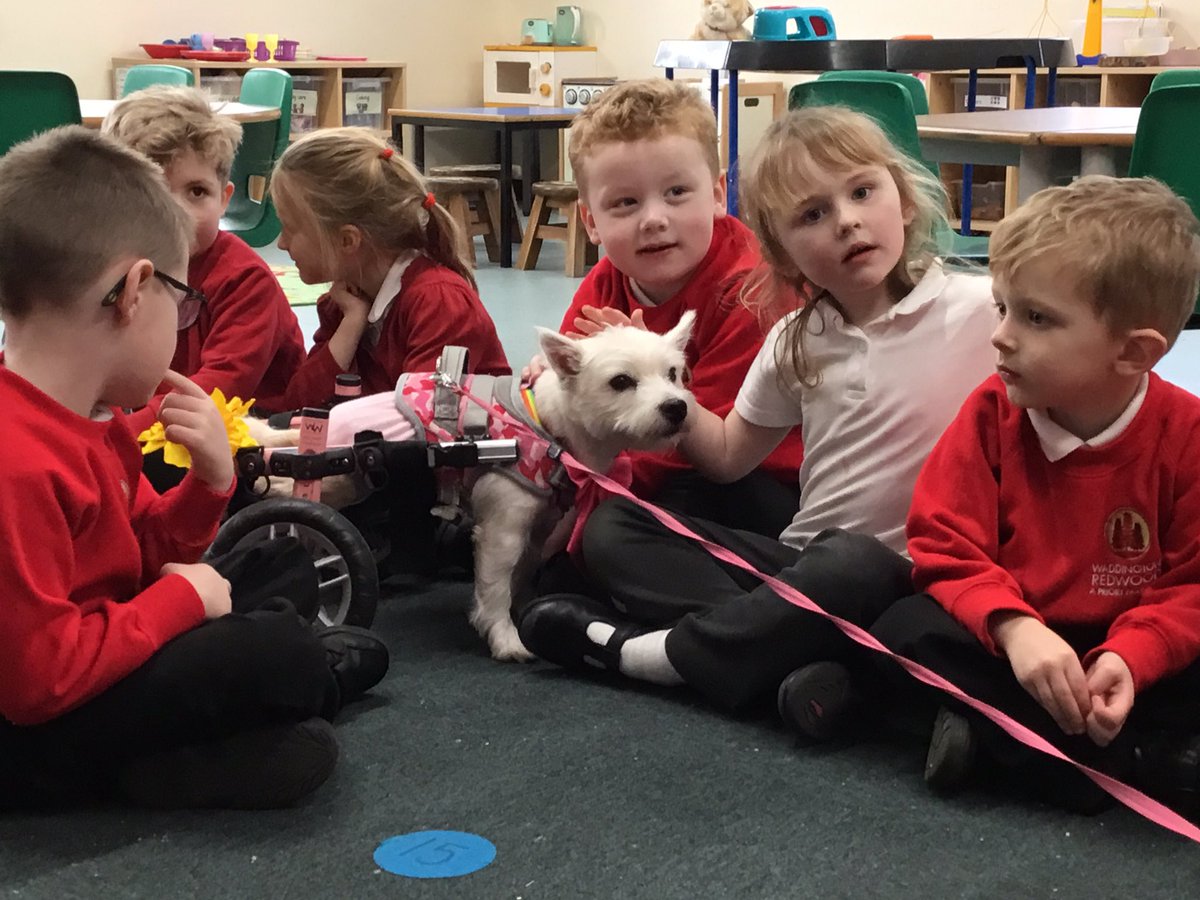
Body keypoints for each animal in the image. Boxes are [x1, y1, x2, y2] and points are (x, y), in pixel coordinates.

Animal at [250, 316, 696, 662]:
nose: (677, 407)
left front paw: (514, 611)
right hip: (328, 481)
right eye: (621, 381)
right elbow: (496, 585)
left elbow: (518, 577)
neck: (547, 426)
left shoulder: (535, 528)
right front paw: (505, 637)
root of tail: (319, 428)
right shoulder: (502, 531)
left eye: (674, 374)